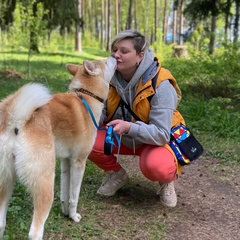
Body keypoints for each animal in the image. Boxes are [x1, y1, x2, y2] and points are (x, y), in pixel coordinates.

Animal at [0, 55, 117, 239]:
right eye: (105, 61)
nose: (114, 55)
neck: (86, 97)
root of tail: (15, 119)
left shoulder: (66, 161)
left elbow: (65, 194)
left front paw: (66, 212)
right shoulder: (79, 162)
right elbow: (74, 196)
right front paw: (74, 216)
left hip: (6, 181)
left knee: (1, 223)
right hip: (45, 182)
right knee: (35, 231)